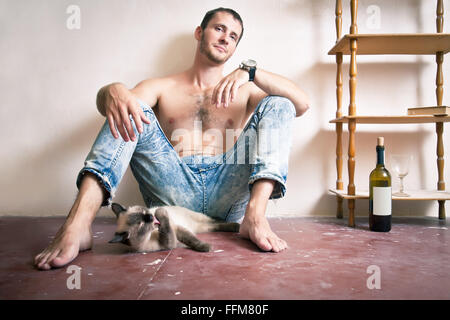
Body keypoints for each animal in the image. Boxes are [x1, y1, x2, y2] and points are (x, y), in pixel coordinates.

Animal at [109, 202, 241, 252]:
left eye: (143, 212)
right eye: (141, 224)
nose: (151, 217)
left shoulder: (176, 229)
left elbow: (192, 240)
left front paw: (205, 247)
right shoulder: (169, 243)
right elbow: (187, 239)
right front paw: (205, 248)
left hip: (201, 219)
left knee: (216, 221)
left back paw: (236, 226)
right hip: (203, 228)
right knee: (214, 226)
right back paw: (236, 227)